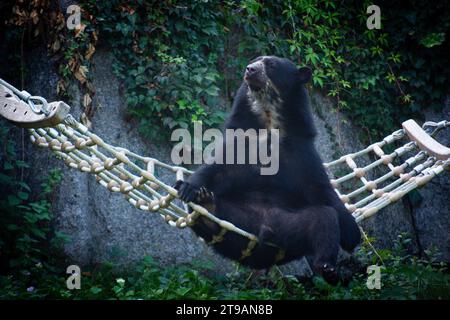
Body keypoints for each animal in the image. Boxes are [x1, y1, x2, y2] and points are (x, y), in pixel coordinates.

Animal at [174, 55, 360, 284]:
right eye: (254, 60)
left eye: (271, 65)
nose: (249, 69)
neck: (269, 119)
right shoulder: (240, 142)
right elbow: (216, 170)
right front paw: (186, 188)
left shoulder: (300, 151)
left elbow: (318, 187)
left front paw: (352, 233)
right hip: (235, 218)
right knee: (211, 217)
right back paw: (207, 205)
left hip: (291, 225)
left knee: (324, 218)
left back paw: (327, 268)